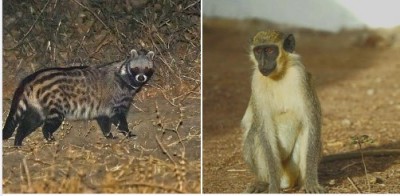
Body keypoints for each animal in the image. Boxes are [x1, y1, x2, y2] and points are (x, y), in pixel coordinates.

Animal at [241, 30, 324, 193]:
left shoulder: (300, 75)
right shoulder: (256, 81)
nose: (263, 63)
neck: (278, 75)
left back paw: (303, 183)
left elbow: (311, 122)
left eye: (270, 50)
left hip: (292, 168)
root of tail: (286, 180)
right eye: (258, 51)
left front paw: (311, 183)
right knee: (255, 134)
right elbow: (264, 128)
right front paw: (273, 187)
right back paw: (263, 182)